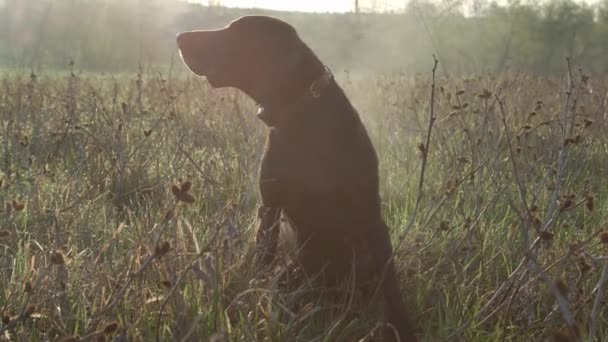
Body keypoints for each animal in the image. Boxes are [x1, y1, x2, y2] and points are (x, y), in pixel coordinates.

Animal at [177, 14, 418, 340]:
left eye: (235, 33)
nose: (179, 38)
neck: (302, 115)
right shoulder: (270, 207)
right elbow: (261, 261)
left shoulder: (371, 216)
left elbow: (391, 287)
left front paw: (402, 327)